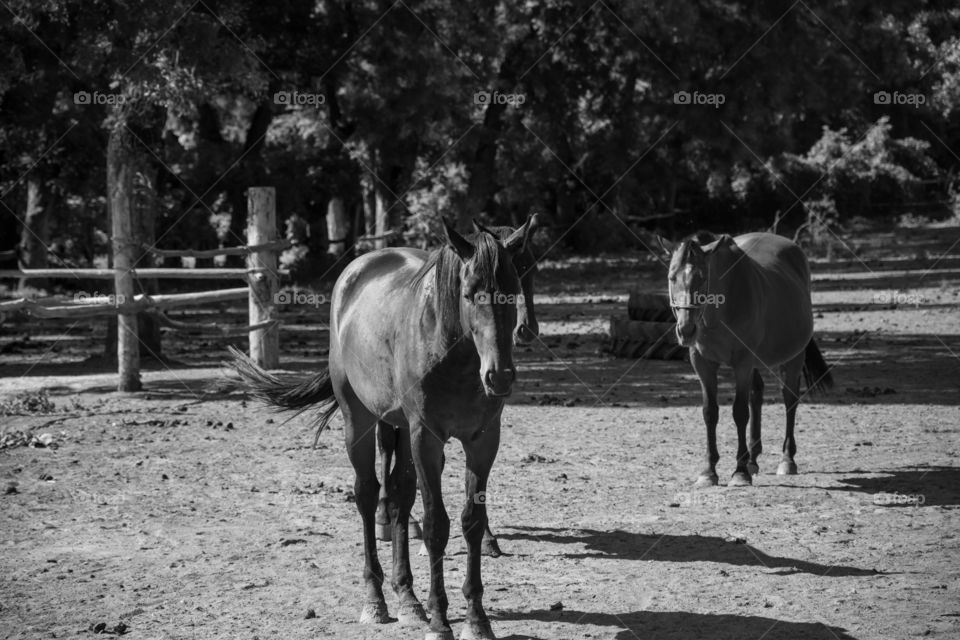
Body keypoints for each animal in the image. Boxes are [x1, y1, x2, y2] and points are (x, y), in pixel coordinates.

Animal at [375, 213, 540, 558]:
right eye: (469, 293)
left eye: (528, 275)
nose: (526, 328)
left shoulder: (484, 427)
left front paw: (487, 537)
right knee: (385, 448)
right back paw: (387, 517)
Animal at [658, 231, 833, 487]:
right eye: (672, 277)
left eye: (702, 278)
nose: (686, 330)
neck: (719, 312)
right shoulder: (702, 363)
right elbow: (710, 412)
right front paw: (709, 471)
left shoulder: (742, 362)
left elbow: (740, 412)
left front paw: (739, 472)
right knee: (756, 394)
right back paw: (752, 459)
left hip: (792, 358)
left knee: (789, 400)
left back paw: (786, 460)